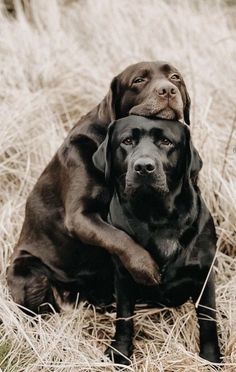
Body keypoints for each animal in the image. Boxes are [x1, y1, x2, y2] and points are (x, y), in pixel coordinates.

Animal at [7, 61, 191, 310]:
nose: (168, 90)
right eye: (138, 80)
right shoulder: (79, 217)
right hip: (26, 271)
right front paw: (145, 267)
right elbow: (117, 236)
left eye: (175, 77)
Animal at [92, 116, 221, 366]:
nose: (144, 167)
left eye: (166, 141)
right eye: (127, 141)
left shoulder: (205, 274)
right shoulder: (123, 275)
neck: (158, 217)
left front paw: (211, 358)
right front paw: (120, 352)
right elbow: (124, 316)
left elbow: (208, 320)